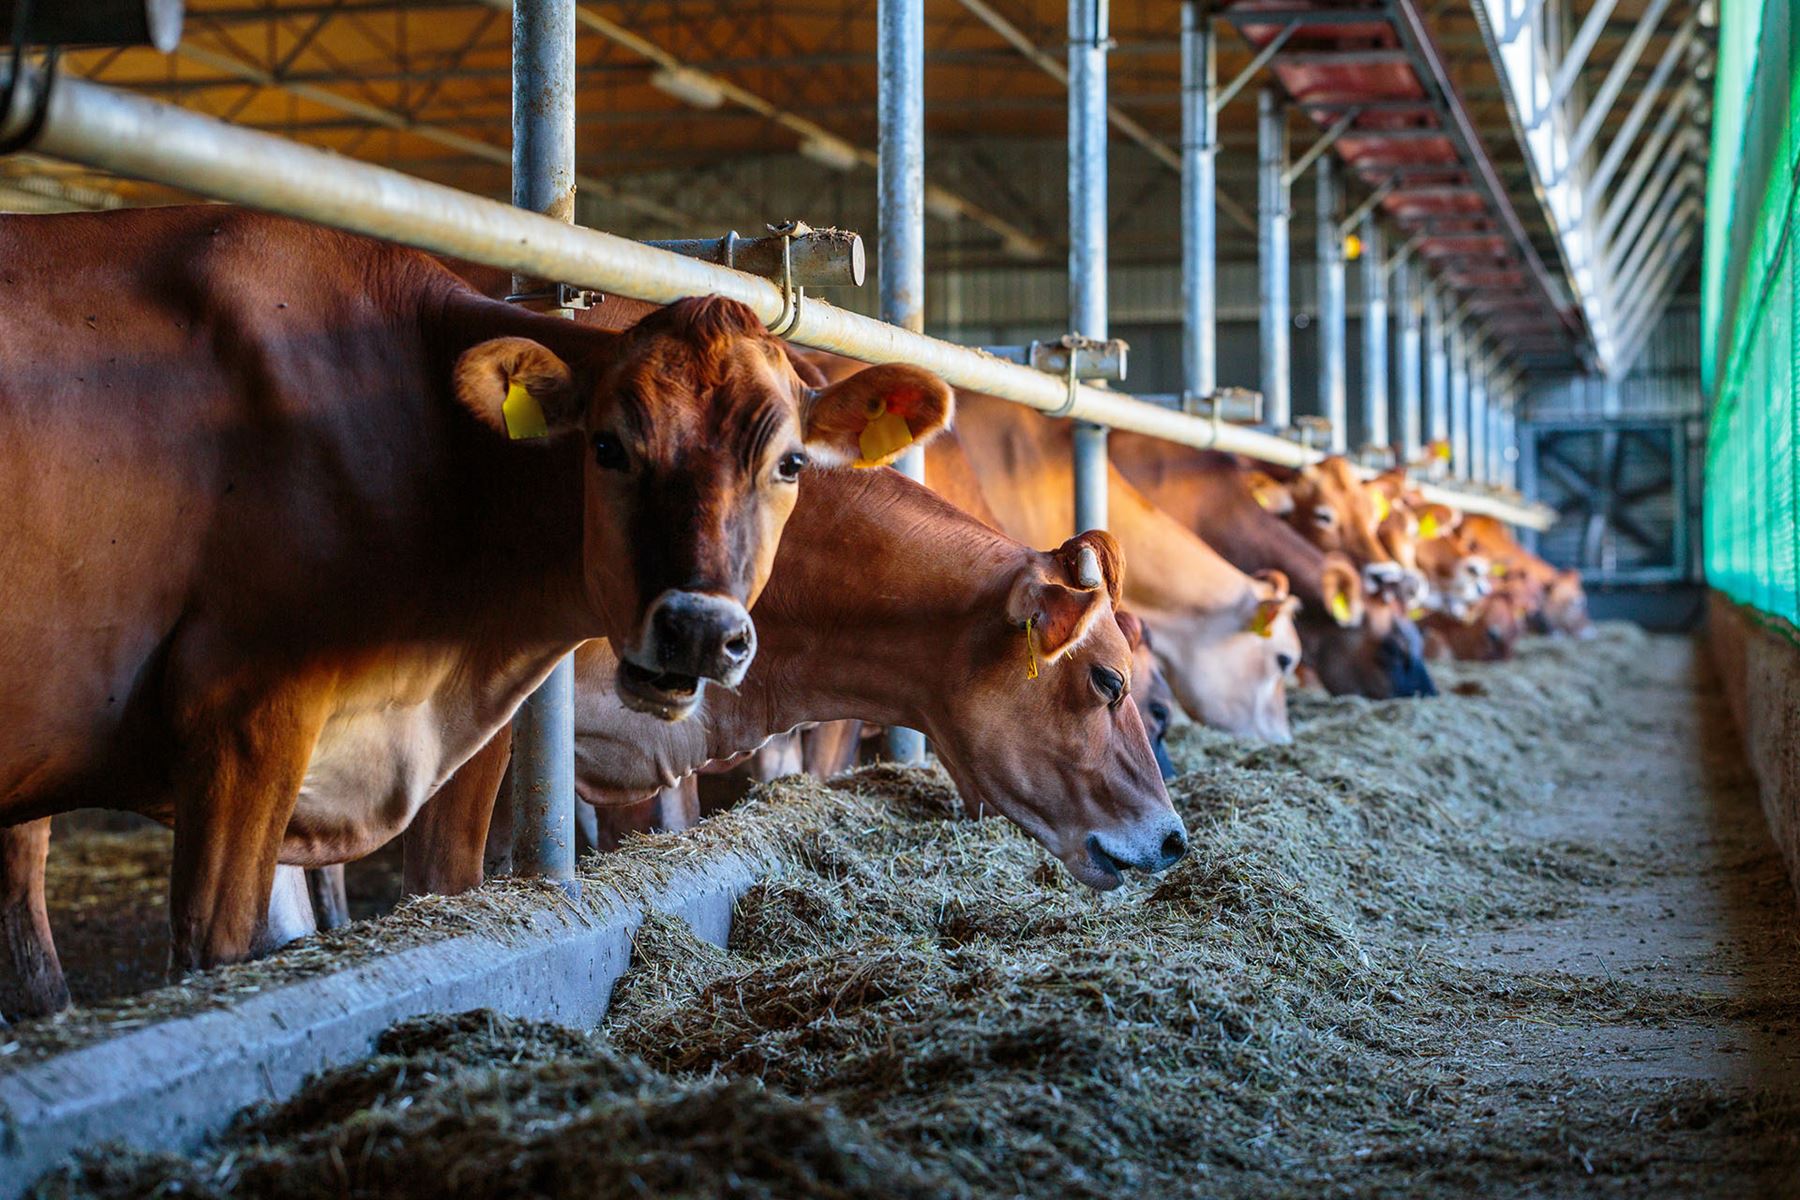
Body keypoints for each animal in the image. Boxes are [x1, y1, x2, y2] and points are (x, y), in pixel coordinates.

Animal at [0, 208, 950, 1014]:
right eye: (607, 445)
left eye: (790, 462)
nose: (698, 631)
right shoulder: (241, 717)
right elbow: (216, 945)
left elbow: (444, 879)